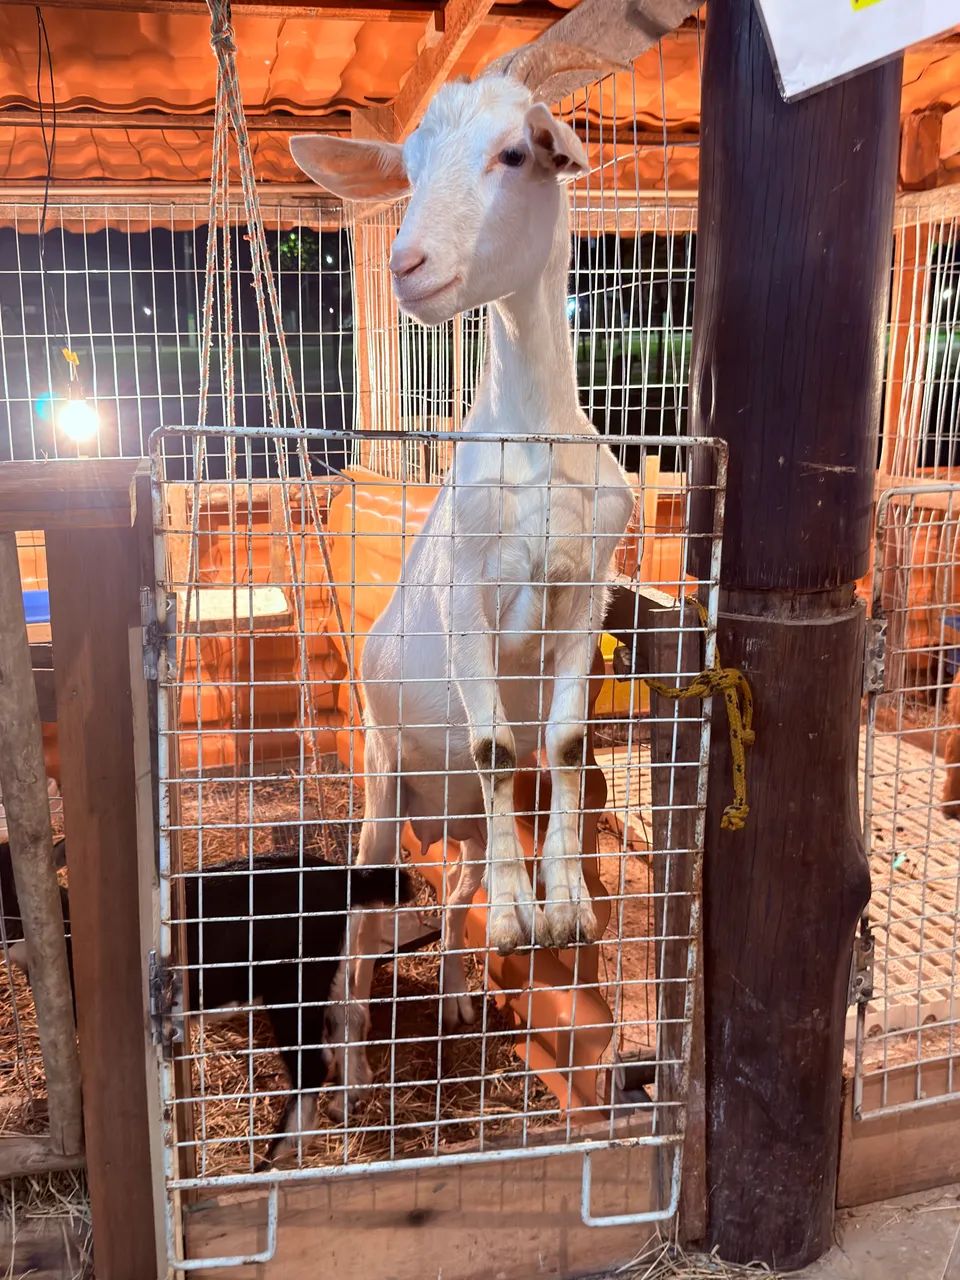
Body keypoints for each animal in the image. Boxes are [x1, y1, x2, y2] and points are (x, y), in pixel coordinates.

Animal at [291, 49, 634, 1106]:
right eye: (406, 169)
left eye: (517, 152)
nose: (406, 265)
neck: (536, 442)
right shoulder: (470, 595)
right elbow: (493, 743)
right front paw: (527, 920)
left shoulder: (585, 595)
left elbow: (558, 743)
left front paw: (562, 910)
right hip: (382, 779)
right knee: (363, 919)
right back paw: (352, 1062)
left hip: (459, 827)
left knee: (457, 880)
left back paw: (451, 989)